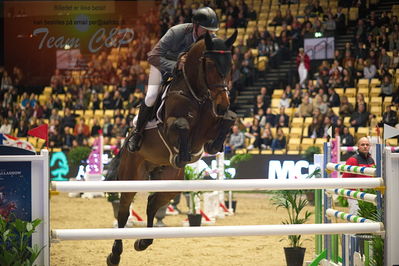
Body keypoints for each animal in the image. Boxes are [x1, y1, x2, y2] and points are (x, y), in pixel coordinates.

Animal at [105, 31, 238, 266]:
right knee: (123, 211)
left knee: (152, 203)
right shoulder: (170, 127)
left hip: (170, 181)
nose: (222, 103)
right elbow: (182, 125)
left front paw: (215, 142)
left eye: (230, 65)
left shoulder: (207, 129)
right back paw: (115, 254)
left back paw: (143, 242)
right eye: (211, 64)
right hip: (131, 175)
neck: (197, 93)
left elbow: (229, 119)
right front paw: (182, 154)